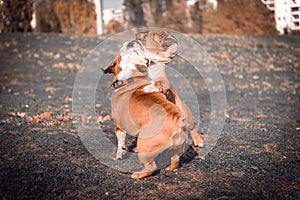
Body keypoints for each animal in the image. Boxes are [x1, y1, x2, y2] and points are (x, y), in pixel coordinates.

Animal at [104, 40, 186, 178]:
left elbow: (121, 142)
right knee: (175, 160)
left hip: (145, 145)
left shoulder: (119, 126)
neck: (132, 78)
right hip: (175, 149)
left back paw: (138, 174)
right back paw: (170, 168)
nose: (132, 42)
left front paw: (120, 154)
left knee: (151, 167)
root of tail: (177, 123)